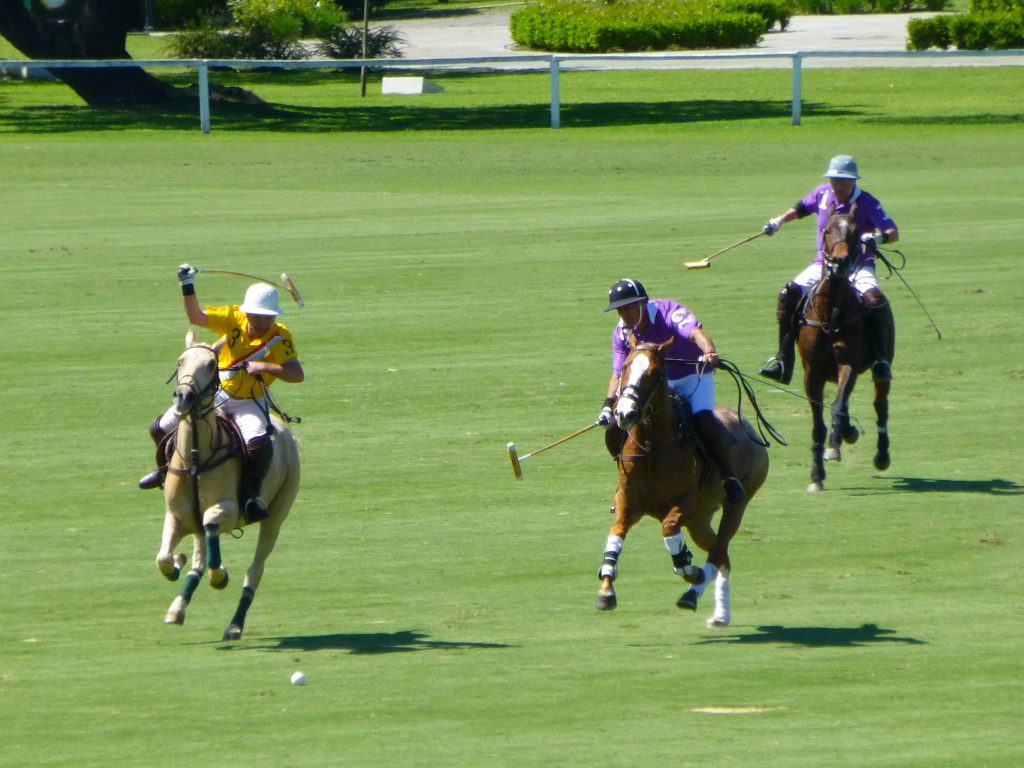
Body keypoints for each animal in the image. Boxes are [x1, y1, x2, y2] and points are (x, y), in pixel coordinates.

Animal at [153, 333, 299, 638]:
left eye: (211, 364)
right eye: (180, 360)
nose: (184, 397)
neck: (196, 458)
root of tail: (285, 431)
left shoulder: (229, 511)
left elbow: (211, 527)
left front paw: (219, 576)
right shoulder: (176, 515)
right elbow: (163, 557)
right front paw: (177, 563)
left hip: (277, 515)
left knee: (255, 569)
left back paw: (234, 624)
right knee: (199, 558)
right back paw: (178, 607)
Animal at [593, 339, 770, 626]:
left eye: (656, 373)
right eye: (627, 366)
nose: (624, 413)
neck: (652, 447)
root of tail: (747, 424)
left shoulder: (686, 502)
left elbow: (669, 529)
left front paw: (688, 567)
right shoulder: (628, 502)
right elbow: (616, 534)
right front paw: (606, 591)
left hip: (735, 504)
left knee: (719, 549)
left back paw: (695, 592)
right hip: (700, 520)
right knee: (723, 555)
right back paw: (719, 614)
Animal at [794, 207, 892, 493]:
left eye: (856, 231)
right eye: (827, 230)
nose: (840, 262)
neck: (830, 316)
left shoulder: (848, 364)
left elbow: (837, 406)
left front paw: (833, 448)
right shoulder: (811, 374)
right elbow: (818, 425)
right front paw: (816, 476)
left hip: (880, 366)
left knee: (880, 405)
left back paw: (881, 455)